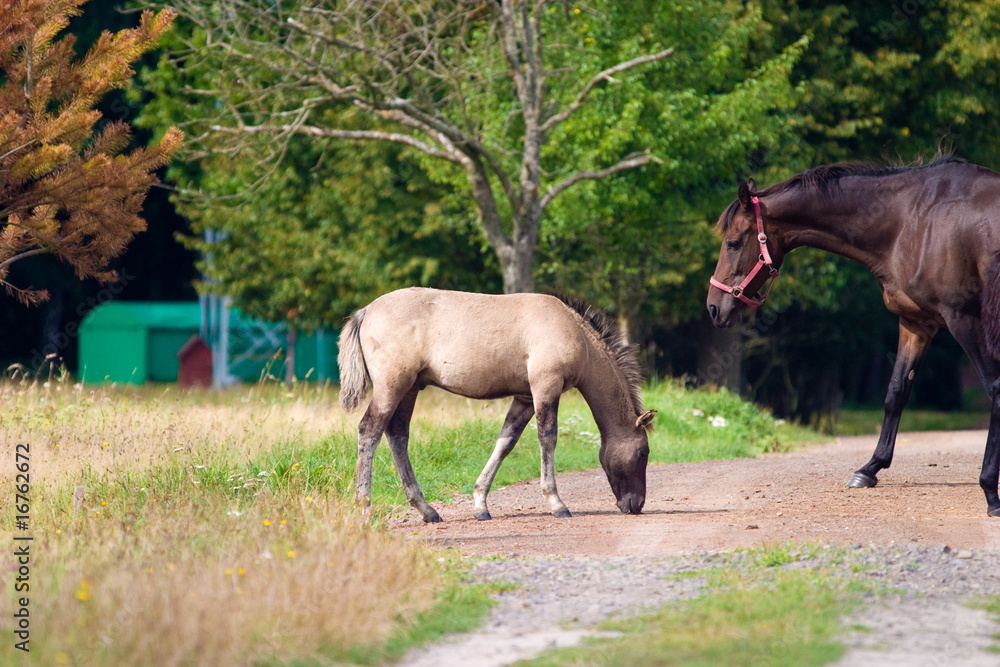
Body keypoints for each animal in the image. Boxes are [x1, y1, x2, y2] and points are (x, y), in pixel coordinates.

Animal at [337, 287, 657, 522]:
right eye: (643, 452)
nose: (636, 504)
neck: (573, 331)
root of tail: (365, 312)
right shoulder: (546, 387)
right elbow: (548, 439)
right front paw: (557, 503)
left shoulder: (525, 397)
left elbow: (505, 442)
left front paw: (480, 504)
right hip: (392, 386)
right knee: (370, 431)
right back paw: (364, 508)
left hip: (410, 388)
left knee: (398, 436)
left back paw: (427, 510)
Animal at [706, 155, 1000, 517]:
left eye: (732, 243)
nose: (713, 308)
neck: (912, 221)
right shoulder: (916, 323)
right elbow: (895, 392)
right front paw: (870, 468)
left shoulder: (964, 320)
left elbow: (995, 389)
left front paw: (989, 491)